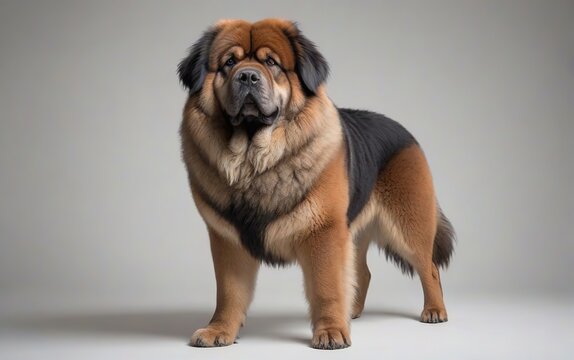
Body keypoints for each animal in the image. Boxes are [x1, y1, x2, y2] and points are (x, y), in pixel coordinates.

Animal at [178, 19, 456, 348]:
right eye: (229, 63)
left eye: (271, 63)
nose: (247, 75)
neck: (256, 162)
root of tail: (405, 132)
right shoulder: (228, 239)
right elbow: (229, 292)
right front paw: (220, 329)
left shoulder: (324, 232)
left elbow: (326, 287)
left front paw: (331, 332)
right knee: (363, 273)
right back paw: (353, 312)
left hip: (409, 225)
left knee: (429, 267)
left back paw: (434, 310)